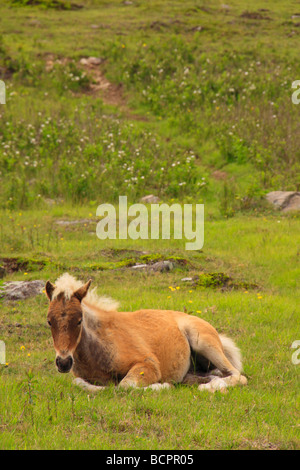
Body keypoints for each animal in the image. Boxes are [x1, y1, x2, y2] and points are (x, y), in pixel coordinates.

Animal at [44, 272, 246, 392]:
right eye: (49, 322)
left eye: (79, 320)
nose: (63, 363)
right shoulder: (81, 377)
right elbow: (81, 384)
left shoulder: (147, 364)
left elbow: (126, 386)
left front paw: (162, 386)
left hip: (203, 342)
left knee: (237, 375)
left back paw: (211, 386)